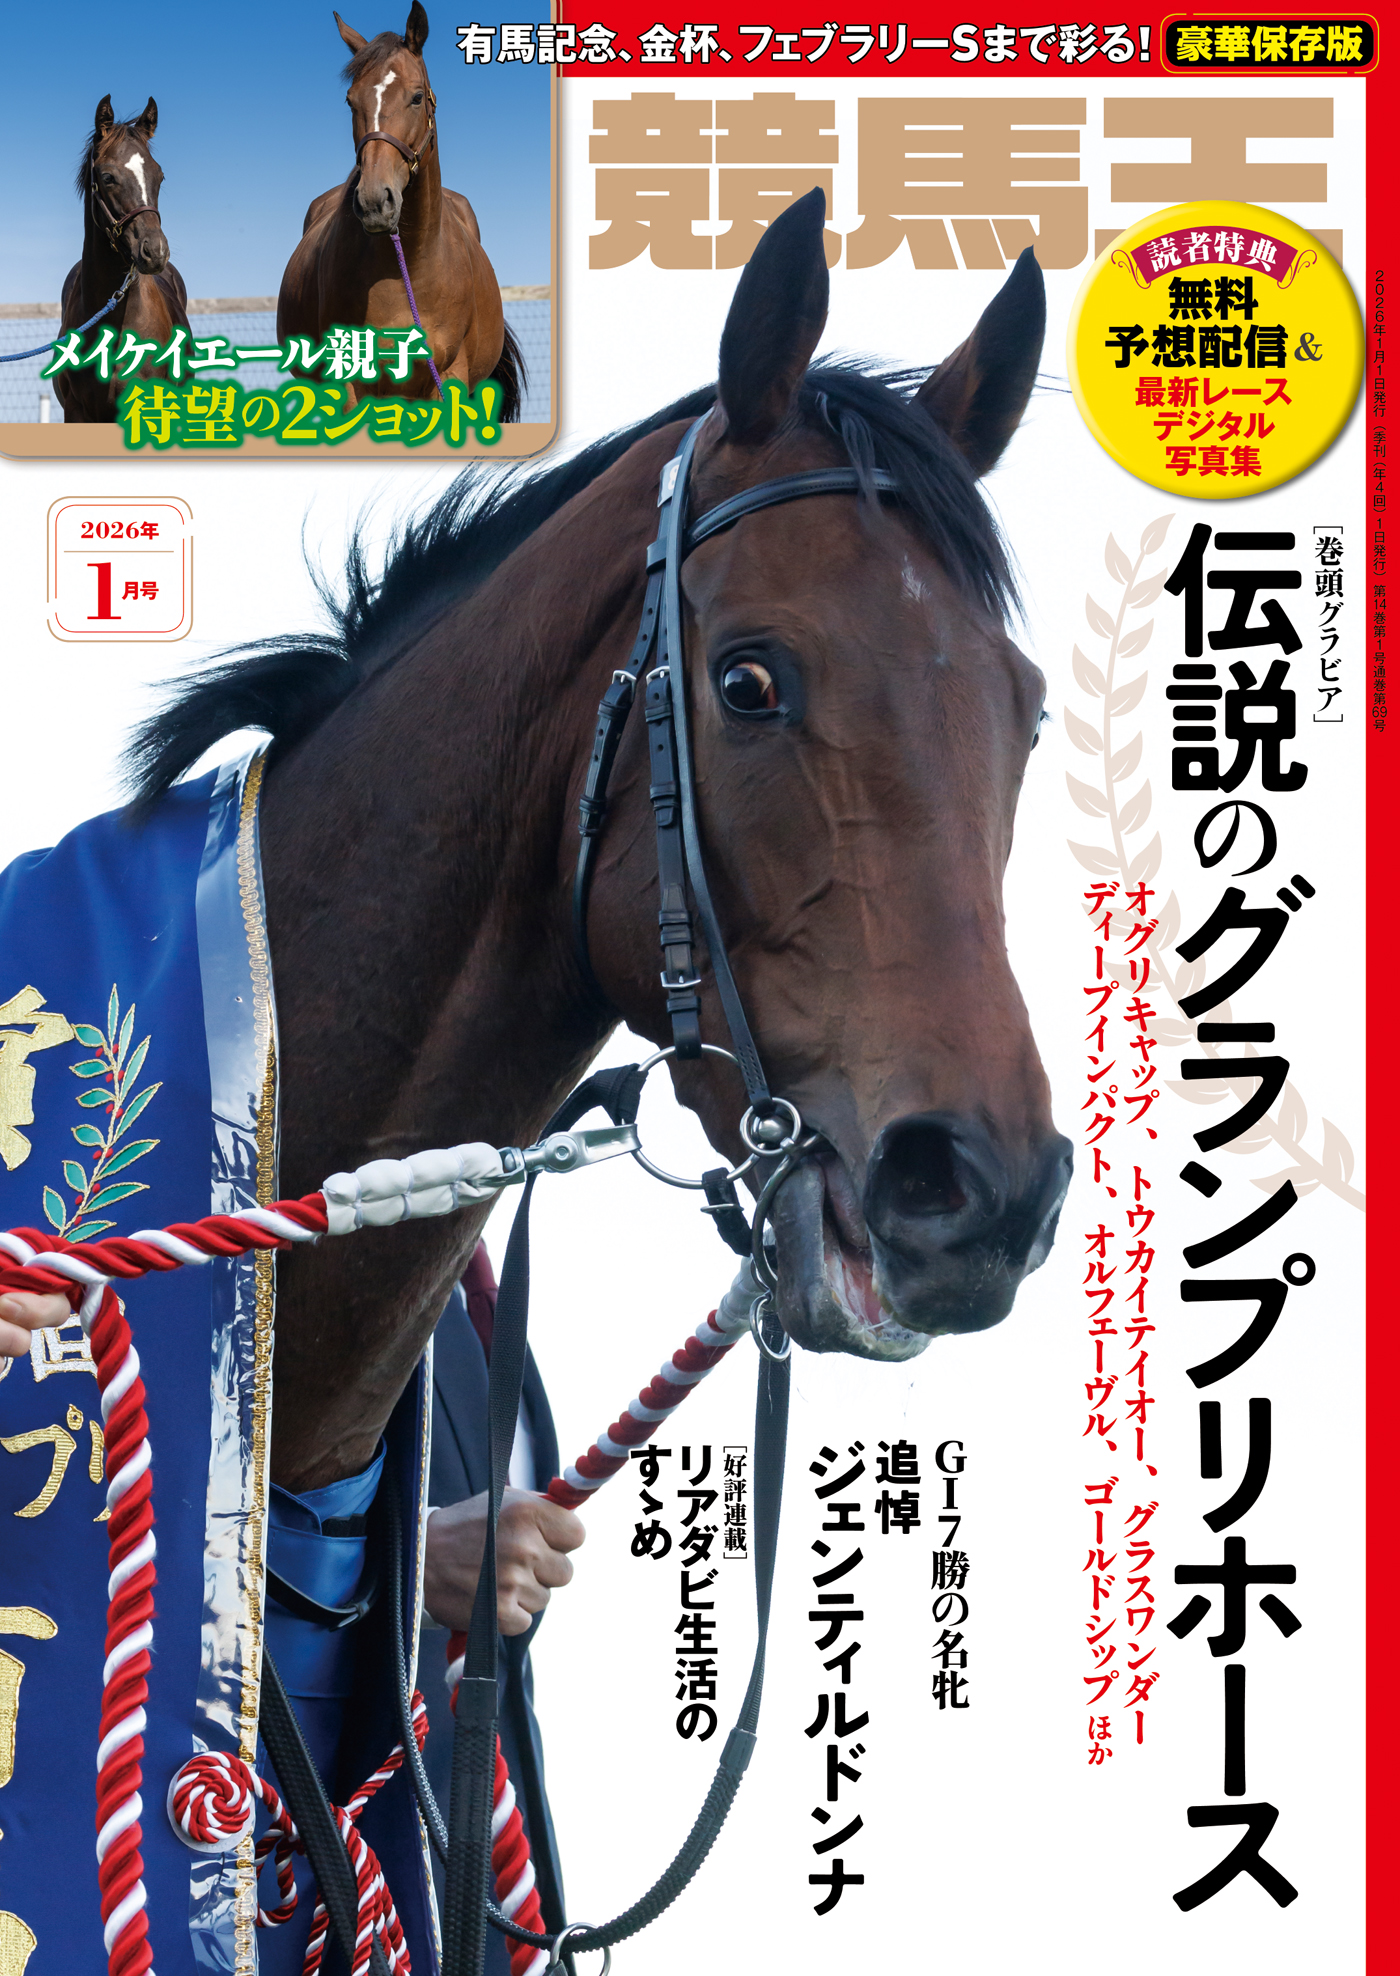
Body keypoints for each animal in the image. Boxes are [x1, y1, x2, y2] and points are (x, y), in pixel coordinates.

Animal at [277, 2, 524, 418]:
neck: (408, 268)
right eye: (350, 100)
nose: (375, 202)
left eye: (417, 97)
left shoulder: (449, 378)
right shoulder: (350, 384)